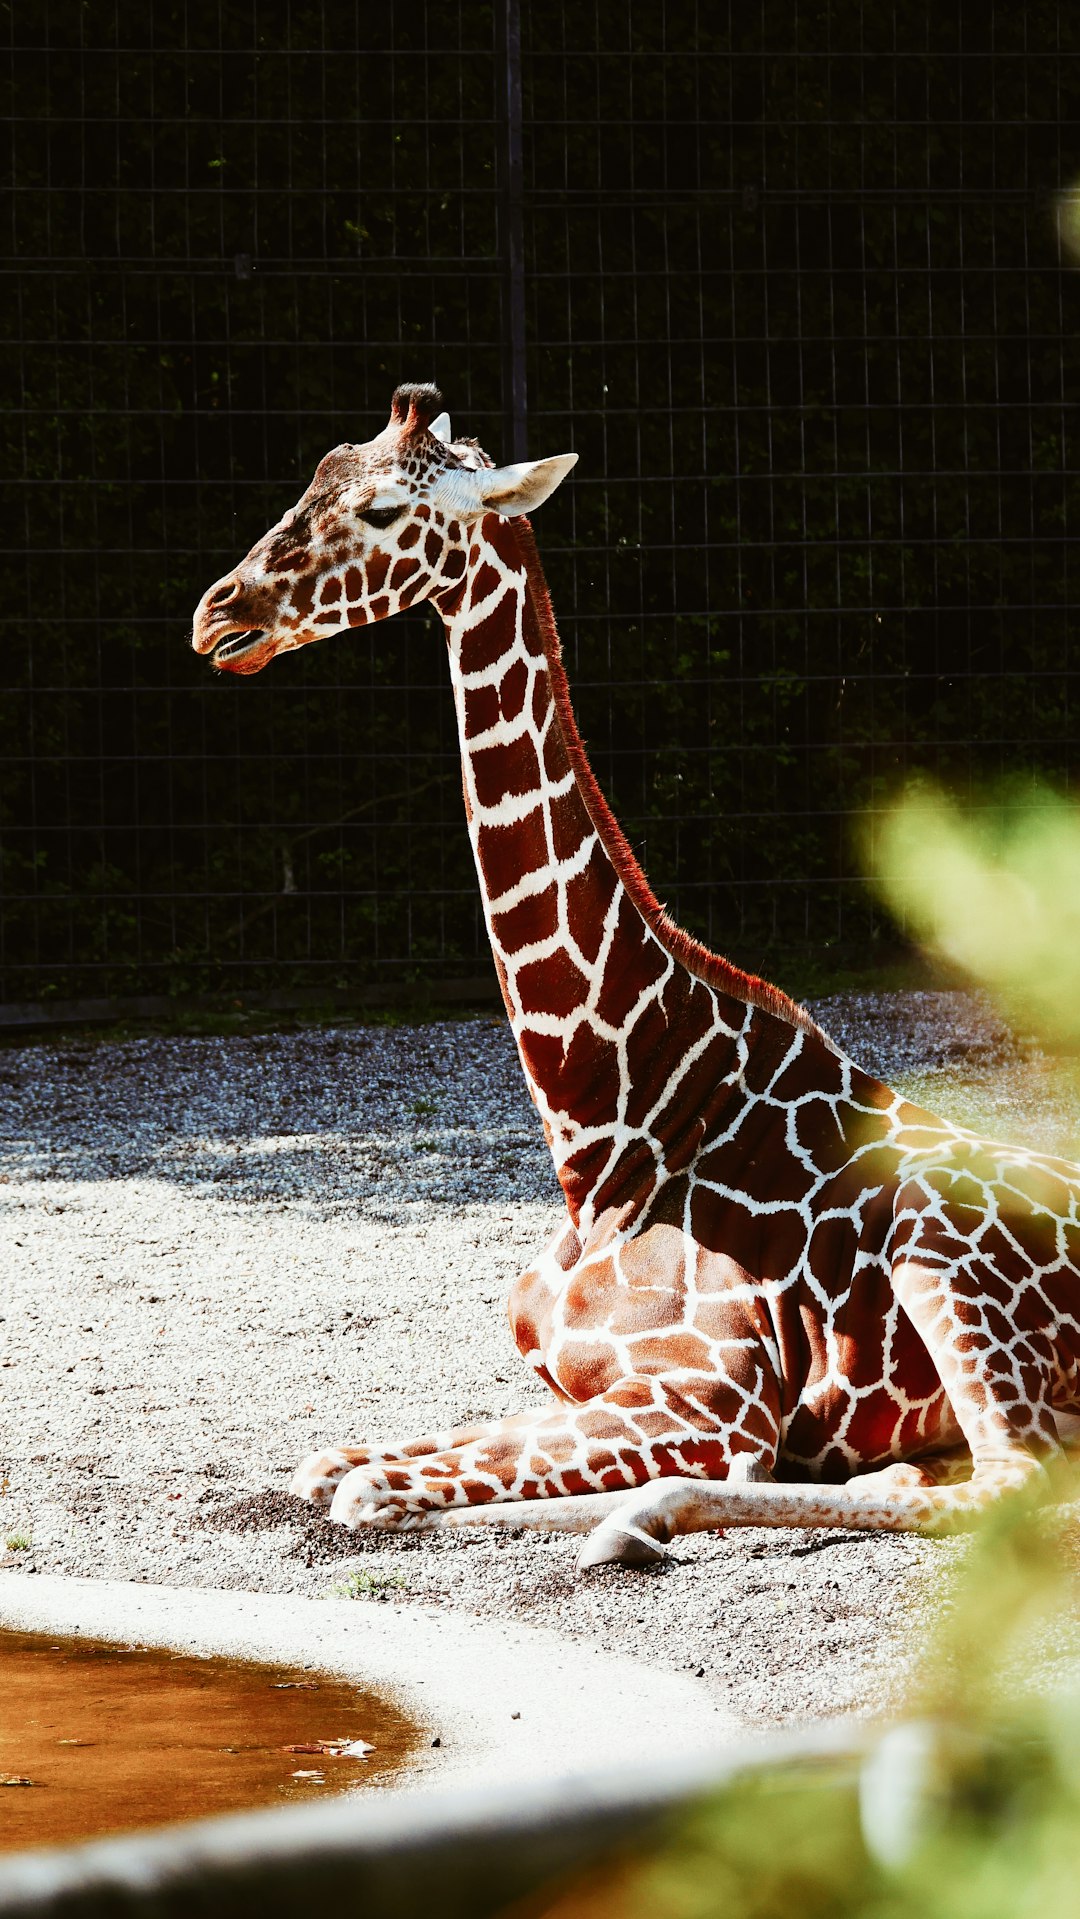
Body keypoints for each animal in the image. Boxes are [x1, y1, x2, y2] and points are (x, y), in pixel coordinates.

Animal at [189, 381, 1080, 1565]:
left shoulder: (708, 1395)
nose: (219, 615)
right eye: (312, 479)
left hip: (940, 1249)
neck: (608, 1124)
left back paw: (641, 1514)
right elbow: (336, 1458)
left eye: (380, 510)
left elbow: (369, 1484)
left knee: (1015, 1484)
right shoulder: (584, 1384)